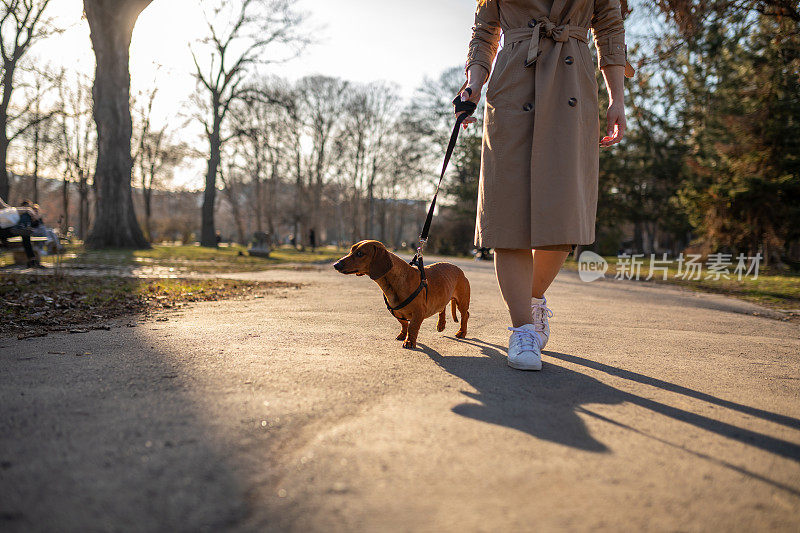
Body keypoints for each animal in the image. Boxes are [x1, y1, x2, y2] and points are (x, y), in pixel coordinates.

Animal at [332, 239, 468, 348]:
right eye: (351, 250)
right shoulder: (396, 312)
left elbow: (412, 327)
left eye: (360, 253)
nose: (335, 265)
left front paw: (409, 341)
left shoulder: (418, 312)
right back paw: (441, 325)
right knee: (442, 308)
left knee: (465, 315)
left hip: (462, 302)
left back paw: (462, 332)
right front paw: (403, 335)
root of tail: (458, 269)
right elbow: (404, 324)